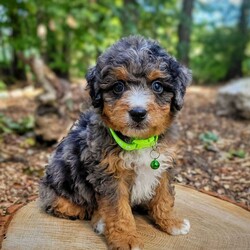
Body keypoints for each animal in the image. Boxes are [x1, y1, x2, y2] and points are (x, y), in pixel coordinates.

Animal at [39, 35, 191, 250]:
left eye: (157, 86)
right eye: (118, 86)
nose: (138, 112)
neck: (139, 141)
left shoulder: (164, 165)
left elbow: (164, 196)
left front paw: (171, 223)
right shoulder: (109, 174)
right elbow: (118, 210)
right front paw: (126, 239)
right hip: (60, 188)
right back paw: (99, 220)